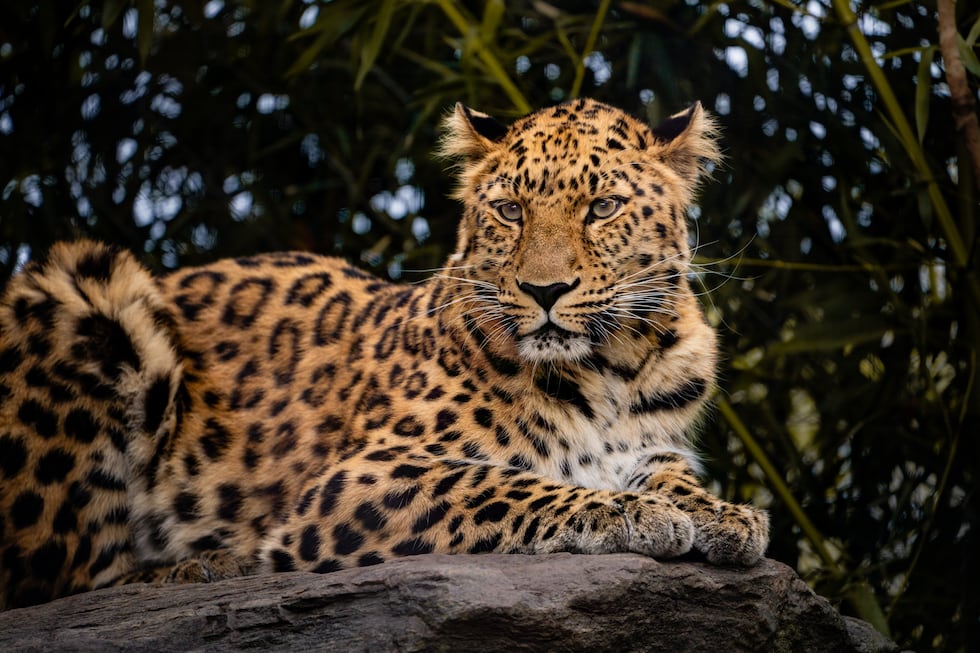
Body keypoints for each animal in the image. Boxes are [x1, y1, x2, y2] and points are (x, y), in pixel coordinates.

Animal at [0, 97, 768, 609]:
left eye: (602, 207)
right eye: (511, 210)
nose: (544, 290)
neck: (611, 367)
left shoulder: (655, 443)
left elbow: (674, 479)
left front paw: (725, 514)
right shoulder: (358, 478)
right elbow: (509, 484)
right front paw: (632, 514)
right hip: (78, 291)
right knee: (60, 578)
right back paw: (199, 568)